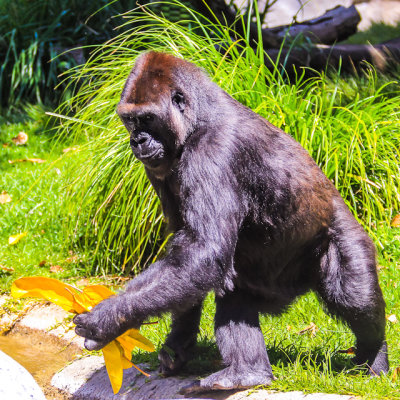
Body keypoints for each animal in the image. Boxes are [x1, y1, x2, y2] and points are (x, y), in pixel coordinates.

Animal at [74, 51, 388, 392]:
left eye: (147, 119)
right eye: (130, 120)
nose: (137, 140)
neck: (198, 118)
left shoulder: (212, 149)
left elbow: (203, 251)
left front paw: (106, 320)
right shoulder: (156, 166)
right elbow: (189, 254)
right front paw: (177, 344)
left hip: (346, 234)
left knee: (354, 297)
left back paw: (375, 352)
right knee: (234, 291)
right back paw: (248, 372)